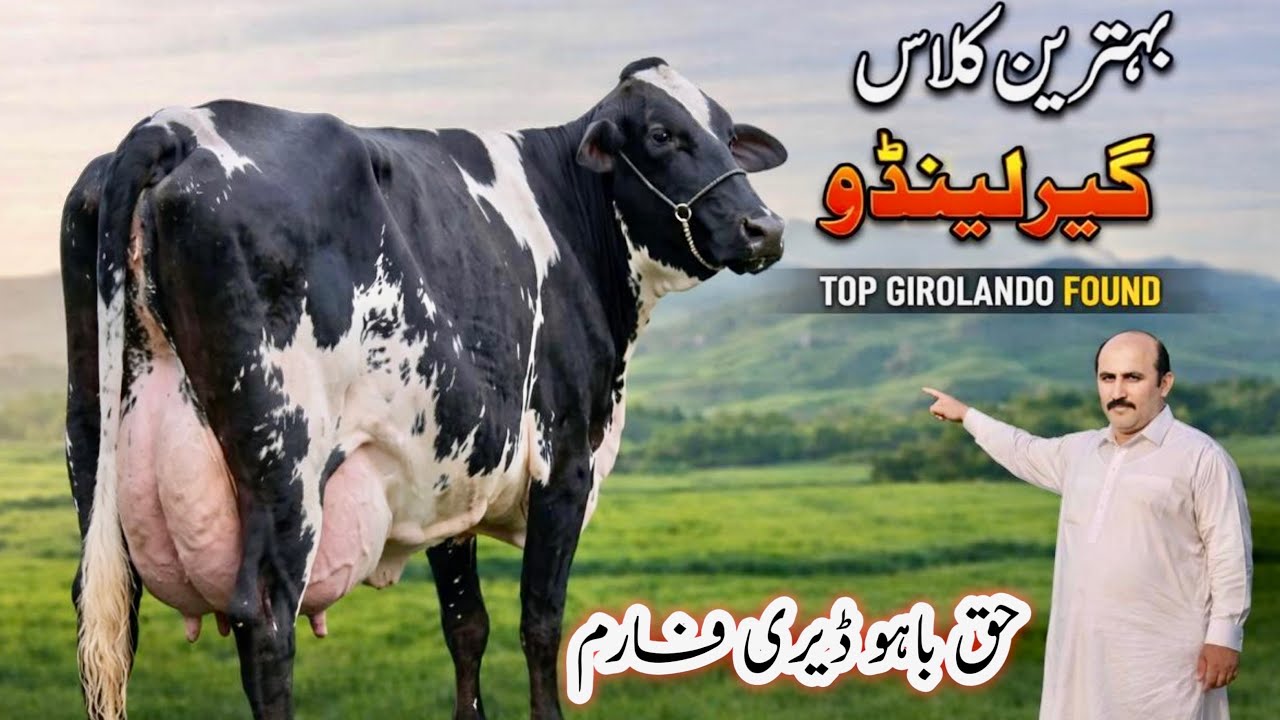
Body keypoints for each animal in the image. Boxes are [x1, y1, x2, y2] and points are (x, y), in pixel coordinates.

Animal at [61, 57, 786, 719]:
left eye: (727, 132)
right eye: (662, 135)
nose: (766, 228)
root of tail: (170, 125)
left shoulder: (452, 479)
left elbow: (467, 627)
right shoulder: (565, 462)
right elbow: (540, 622)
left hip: (93, 449)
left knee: (108, 622)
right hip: (283, 462)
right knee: (265, 622)